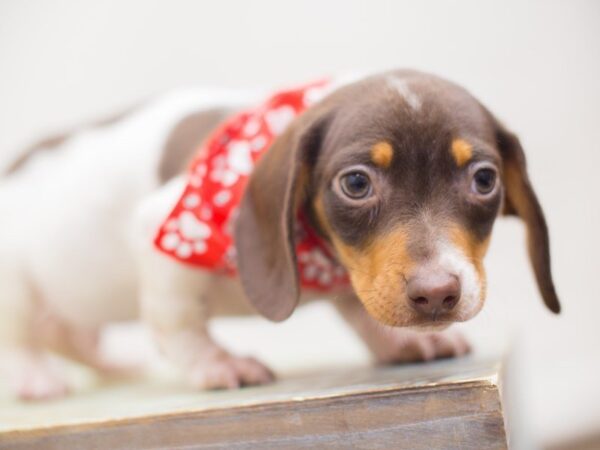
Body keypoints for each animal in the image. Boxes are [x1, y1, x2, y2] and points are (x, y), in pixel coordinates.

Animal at [0, 68, 560, 400]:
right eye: (356, 183)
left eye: (484, 179)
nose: (438, 295)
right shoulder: (164, 233)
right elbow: (178, 323)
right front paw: (217, 364)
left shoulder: (353, 276)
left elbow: (360, 306)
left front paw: (398, 339)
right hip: (17, 289)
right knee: (22, 337)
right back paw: (34, 376)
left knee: (66, 336)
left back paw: (112, 364)